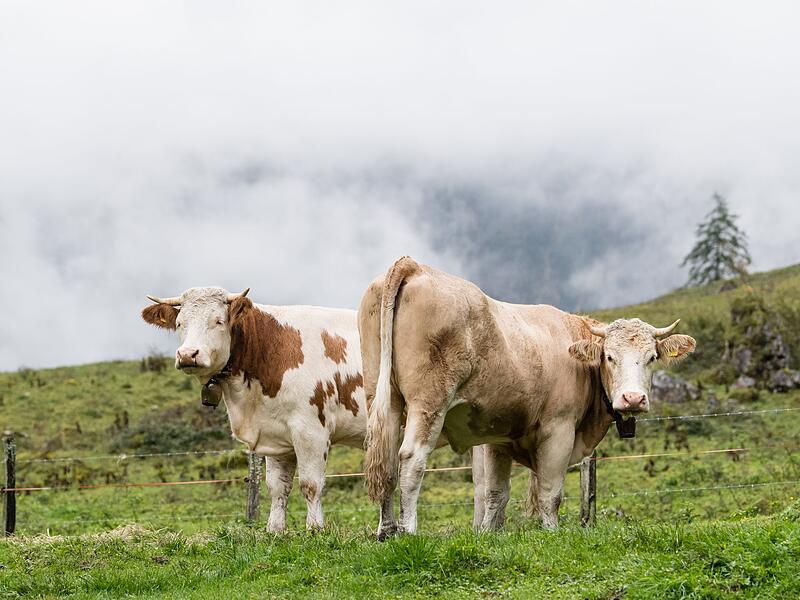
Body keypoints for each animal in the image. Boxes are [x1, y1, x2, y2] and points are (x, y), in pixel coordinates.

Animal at [142, 286, 366, 532]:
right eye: (180, 323)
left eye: (219, 321)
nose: (187, 354)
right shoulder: (277, 435)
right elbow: (277, 487)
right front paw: (275, 530)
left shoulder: (311, 431)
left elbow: (310, 485)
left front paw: (315, 529)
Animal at [360, 257, 696, 538]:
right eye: (609, 357)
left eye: (652, 357)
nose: (633, 398)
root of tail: (414, 265)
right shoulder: (559, 429)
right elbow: (550, 492)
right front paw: (551, 532)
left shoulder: (497, 437)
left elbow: (495, 493)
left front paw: (489, 536)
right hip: (429, 402)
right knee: (411, 458)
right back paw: (408, 531)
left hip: (383, 398)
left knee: (386, 461)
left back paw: (386, 531)